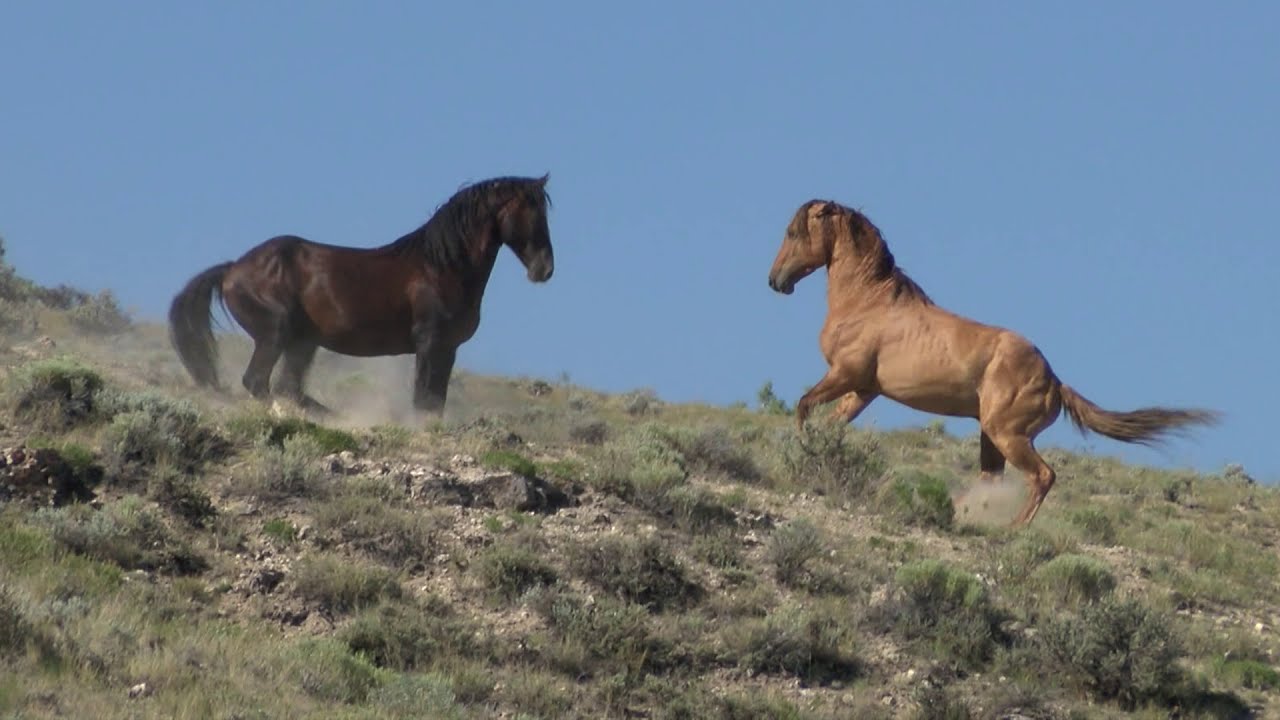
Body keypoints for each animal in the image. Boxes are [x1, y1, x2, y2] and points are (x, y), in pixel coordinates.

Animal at [168, 174, 554, 417]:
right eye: (529, 212)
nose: (544, 269)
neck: (442, 267)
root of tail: (232, 269)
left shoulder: (448, 349)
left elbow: (436, 402)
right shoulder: (430, 343)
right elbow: (423, 401)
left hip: (302, 343)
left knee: (287, 387)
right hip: (275, 333)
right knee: (259, 382)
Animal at [767, 199, 1219, 526]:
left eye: (792, 231)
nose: (776, 280)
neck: (868, 302)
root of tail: (1055, 383)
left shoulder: (844, 374)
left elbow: (804, 407)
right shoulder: (863, 390)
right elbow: (828, 424)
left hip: (1008, 435)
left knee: (1042, 477)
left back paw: (1013, 530)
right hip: (991, 435)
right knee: (994, 479)